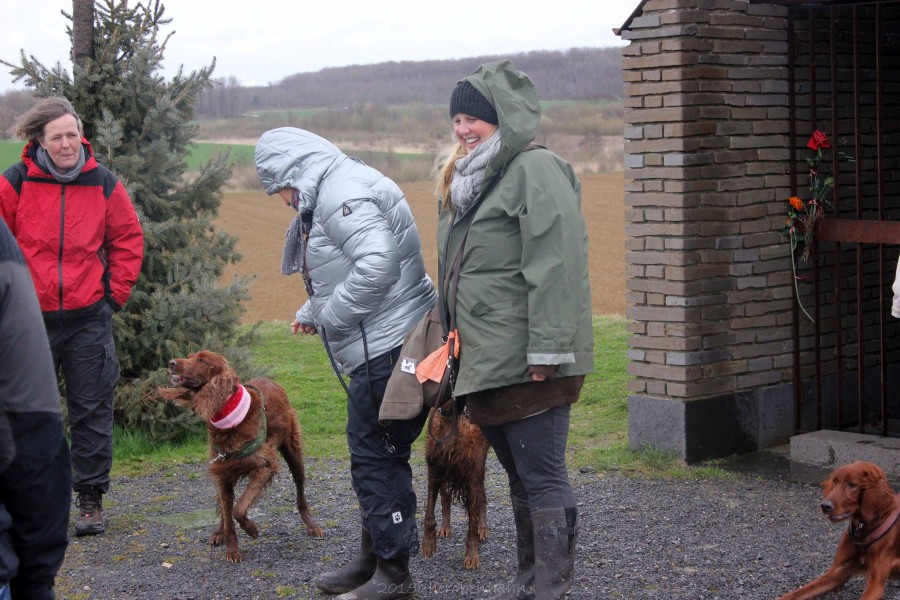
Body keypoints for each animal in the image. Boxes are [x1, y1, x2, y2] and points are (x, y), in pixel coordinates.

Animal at [157, 350, 324, 563]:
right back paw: (218, 532)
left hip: (294, 454)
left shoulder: (265, 466)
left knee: (300, 494)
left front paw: (251, 529)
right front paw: (232, 549)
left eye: (202, 360)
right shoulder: (223, 473)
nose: (171, 363)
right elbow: (228, 515)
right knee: (223, 508)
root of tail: (271, 381)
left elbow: (238, 509)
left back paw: (312, 526)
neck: (229, 422)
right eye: (190, 356)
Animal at [421, 405, 490, 569]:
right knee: (445, 498)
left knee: (482, 496)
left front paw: (471, 555)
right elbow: (429, 514)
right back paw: (445, 527)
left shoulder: (472, 472)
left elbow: (472, 523)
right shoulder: (435, 469)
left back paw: (483, 527)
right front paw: (428, 543)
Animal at [779, 460, 900, 600]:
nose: (824, 506)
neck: (862, 529)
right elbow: (798, 592)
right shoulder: (837, 571)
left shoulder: (876, 584)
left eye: (852, 484)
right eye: (835, 481)